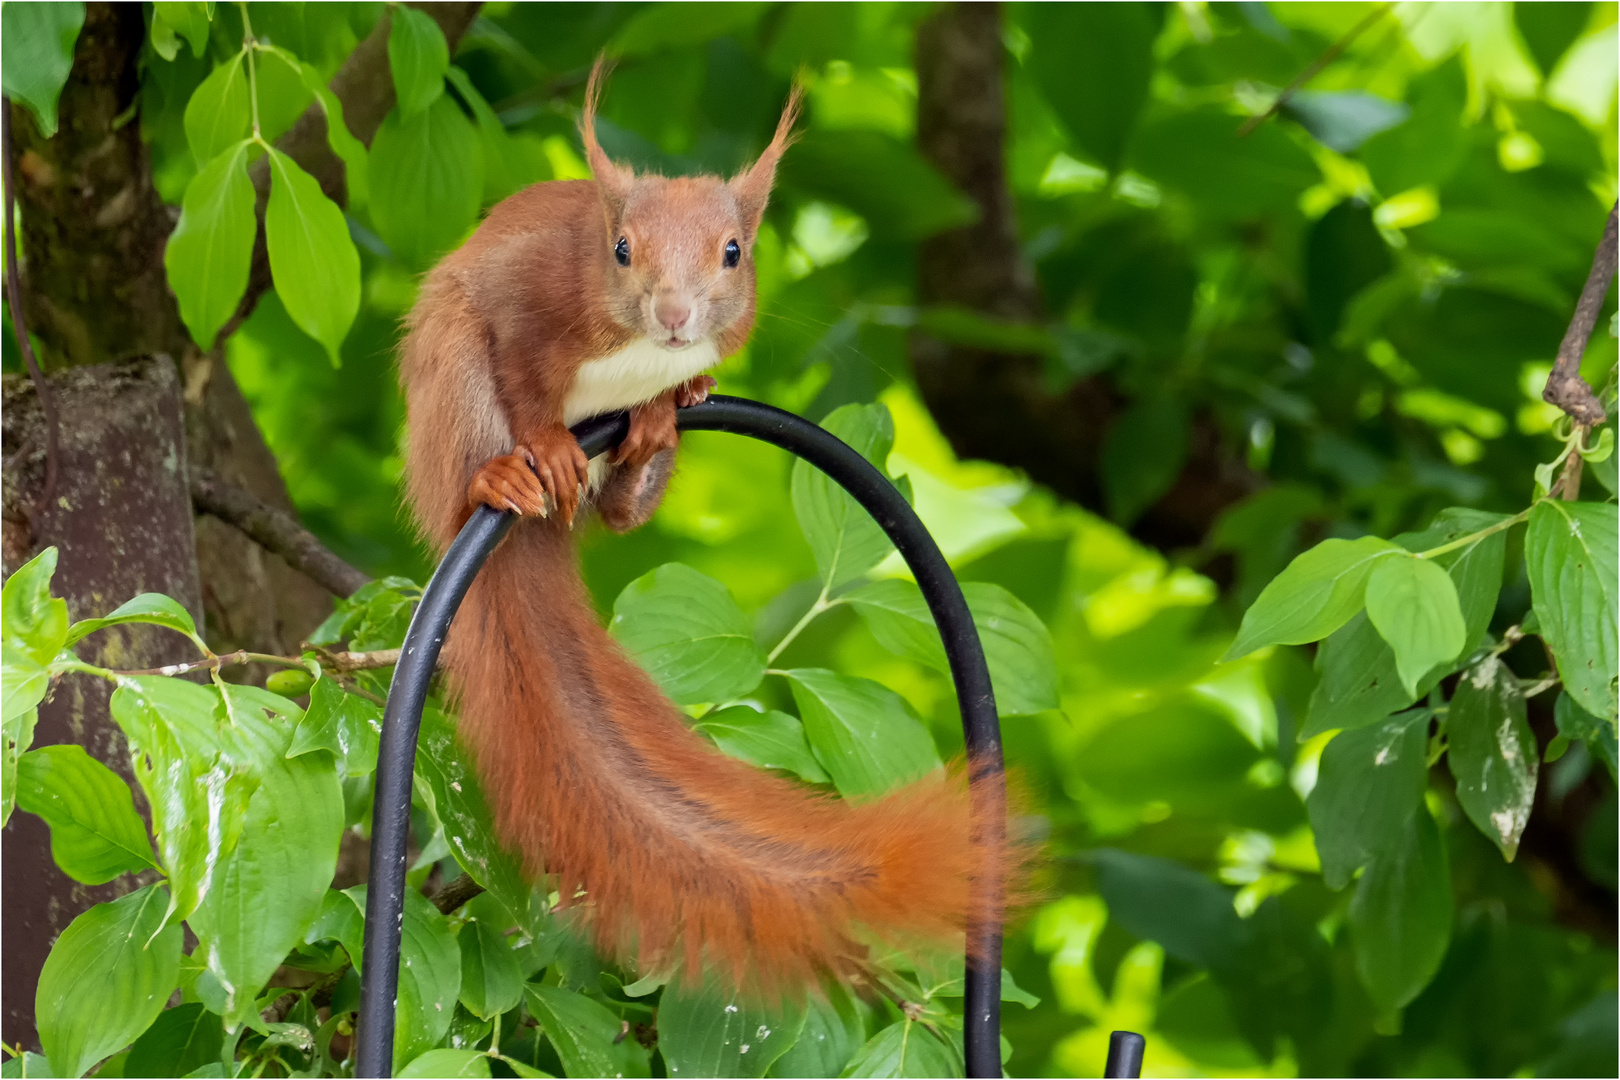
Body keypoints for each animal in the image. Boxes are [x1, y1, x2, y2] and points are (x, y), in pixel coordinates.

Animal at [398, 65, 991, 997]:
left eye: (734, 251)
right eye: (621, 249)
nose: (675, 314)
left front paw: (675, 397)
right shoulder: (522, 305)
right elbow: (526, 379)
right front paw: (547, 443)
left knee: (617, 513)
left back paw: (646, 447)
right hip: (450, 374)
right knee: (473, 457)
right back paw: (505, 478)